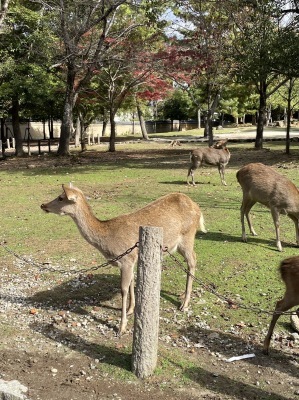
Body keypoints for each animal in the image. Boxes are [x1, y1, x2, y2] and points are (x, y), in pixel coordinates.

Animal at [41, 184, 207, 334]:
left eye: (61, 197)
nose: (43, 205)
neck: (107, 240)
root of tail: (198, 209)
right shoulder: (131, 259)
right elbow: (131, 283)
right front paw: (130, 309)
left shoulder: (126, 259)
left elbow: (123, 289)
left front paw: (122, 326)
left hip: (187, 237)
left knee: (193, 259)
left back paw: (184, 304)